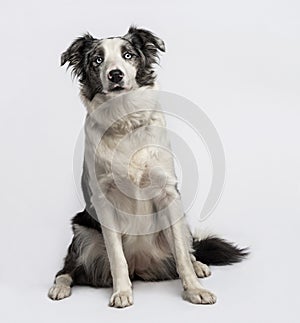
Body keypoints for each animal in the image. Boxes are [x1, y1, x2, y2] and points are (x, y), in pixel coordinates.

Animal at [48, 26, 247, 308]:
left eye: (128, 55)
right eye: (97, 60)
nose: (115, 74)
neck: (125, 122)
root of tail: (141, 266)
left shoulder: (168, 193)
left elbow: (181, 254)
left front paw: (194, 289)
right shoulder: (103, 201)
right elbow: (116, 257)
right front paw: (122, 292)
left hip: (180, 221)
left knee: (186, 249)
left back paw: (198, 265)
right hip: (82, 232)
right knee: (68, 269)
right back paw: (60, 287)